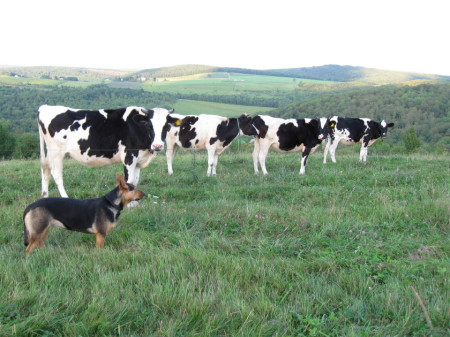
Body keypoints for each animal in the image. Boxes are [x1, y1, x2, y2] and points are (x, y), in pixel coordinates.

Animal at [38, 105, 179, 197]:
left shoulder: (139, 160)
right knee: (56, 174)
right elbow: (129, 181)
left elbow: (135, 181)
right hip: (56, 152)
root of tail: (45, 107)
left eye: (166, 126)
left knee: (45, 169)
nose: (157, 146)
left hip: (50, 153)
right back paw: (65, 197)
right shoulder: (129, 156)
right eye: (149, 125)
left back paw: (44, 195)